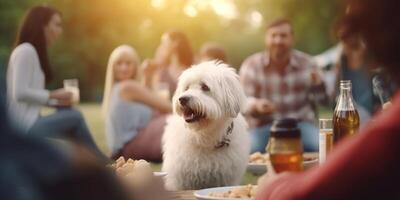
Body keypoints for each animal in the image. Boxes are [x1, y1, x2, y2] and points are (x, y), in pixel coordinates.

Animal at [161, 61, 248, 191]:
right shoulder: (180, 181)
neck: (205, 135)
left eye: (205, 87)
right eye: (186, 88)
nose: (182, 99)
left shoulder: (227, 178)